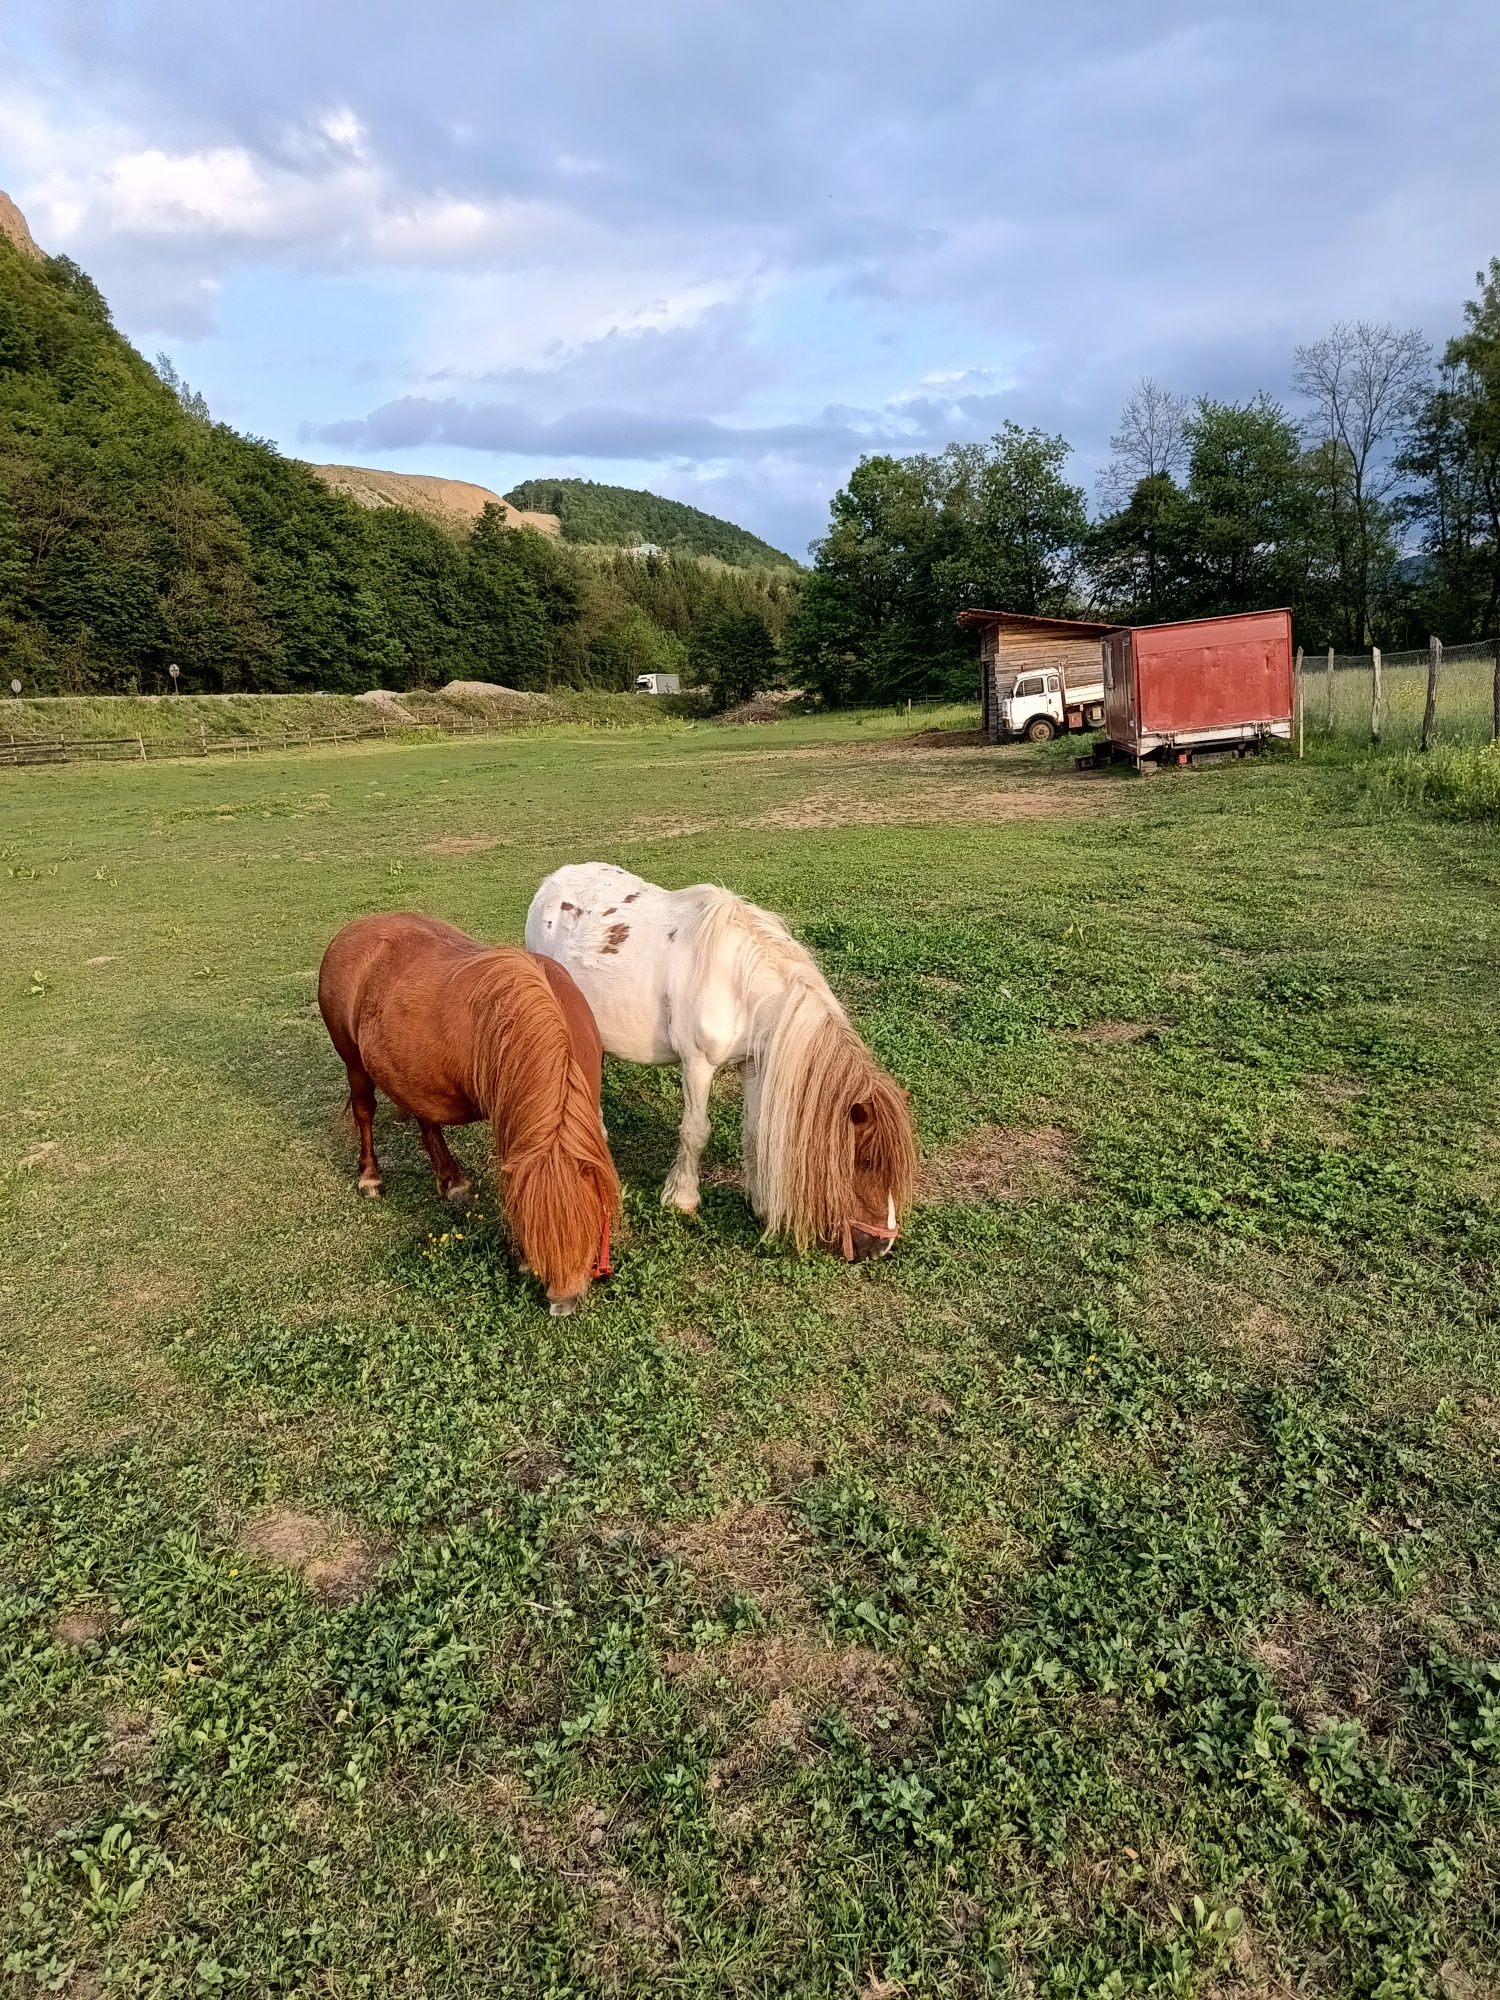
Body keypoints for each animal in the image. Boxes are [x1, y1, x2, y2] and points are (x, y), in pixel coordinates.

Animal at [318, 916, 624, 1320]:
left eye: (588, 1220)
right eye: (530, 1224)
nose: (563, 1302)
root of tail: (351, 932)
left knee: (426, 1121)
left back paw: (451, 1180)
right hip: (353, 1062)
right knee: (364, 1111)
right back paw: (370, 1177)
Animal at [524, 864, 924, 1264]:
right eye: (867, 1162)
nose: (882, 1246)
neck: (739, 987)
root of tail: (552, 882)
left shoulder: (752, 1064)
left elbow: (753, 1131)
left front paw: (759, 1204)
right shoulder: (698, 1065)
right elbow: (695, 1132)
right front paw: (682, 1199)